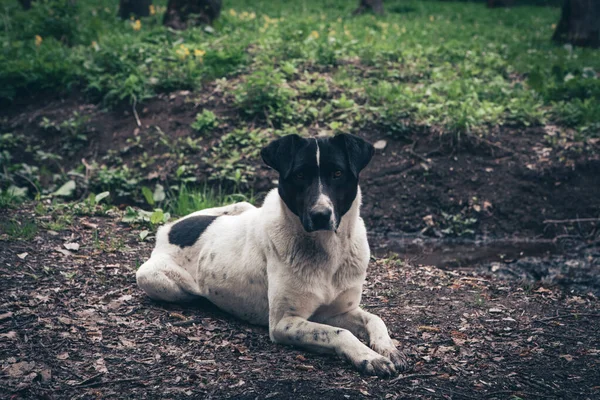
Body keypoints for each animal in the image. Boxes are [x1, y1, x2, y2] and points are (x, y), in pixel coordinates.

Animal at [136, 134, 408, 376]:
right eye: (300, 175)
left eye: (338, 174)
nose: (320, 215)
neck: (326, 250)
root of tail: (167, 229)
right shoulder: (283, 323)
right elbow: (339, 333)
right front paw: (369, 357)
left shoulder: (335, 312)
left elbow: (375, 318)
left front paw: (387, 348)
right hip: (155, 279)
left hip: (243, 205)